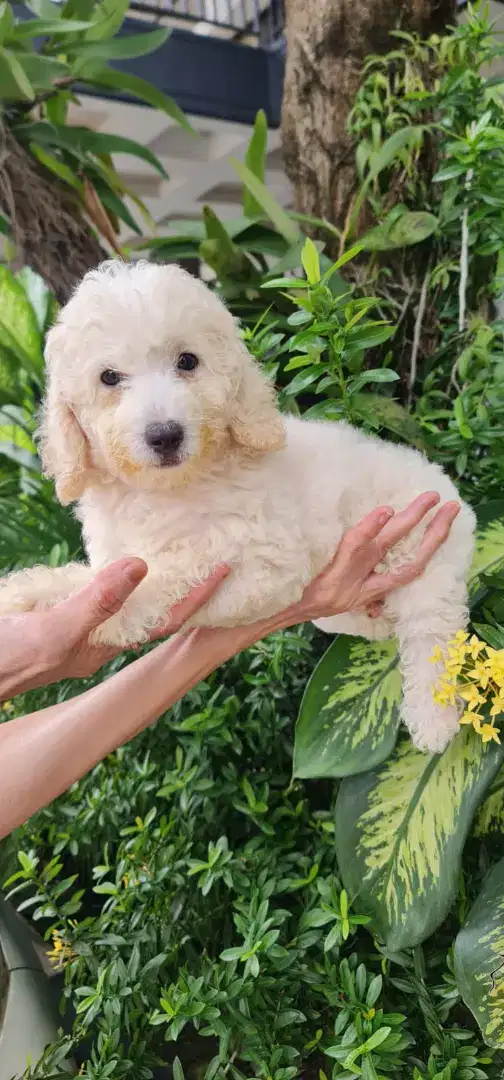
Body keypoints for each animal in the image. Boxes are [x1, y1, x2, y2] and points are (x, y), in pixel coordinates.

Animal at [0, 261, 477, 751]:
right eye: (109, 377)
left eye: (187, 361)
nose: (165, 435)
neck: (169, 488)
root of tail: (447, 486)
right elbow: (106, 573)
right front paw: (34, 592)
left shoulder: (263, 562)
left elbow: (178, 567)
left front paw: (111, 613)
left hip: (425, 561)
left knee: (431, 637)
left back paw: (434, 723)